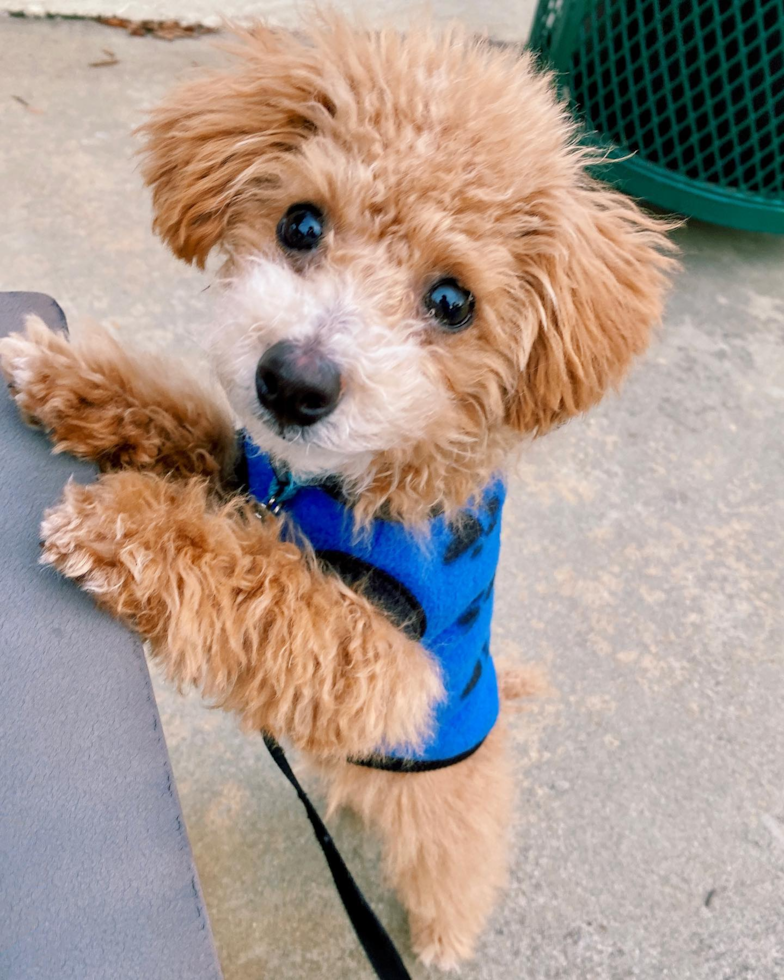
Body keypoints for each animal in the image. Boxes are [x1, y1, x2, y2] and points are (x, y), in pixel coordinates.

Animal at [0, 17, 672, 972]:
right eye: (301, 223)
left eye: (452, 301)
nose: (293, 383)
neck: (322, 481)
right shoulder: (242, 468)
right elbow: (184, 416)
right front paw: (67, 375)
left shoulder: (389, 663)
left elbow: (269, 583)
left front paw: (123, 525)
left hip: (441, 800)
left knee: (459, 860)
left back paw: (444, 936)